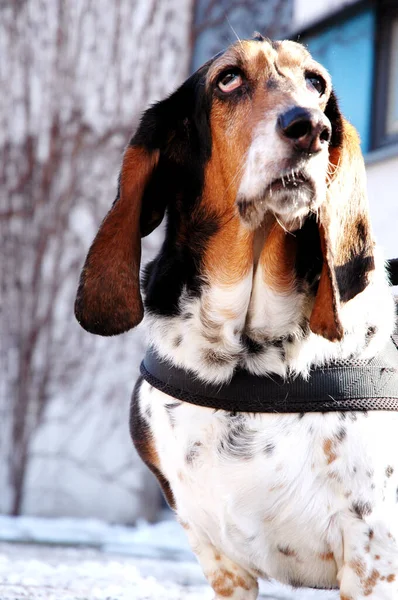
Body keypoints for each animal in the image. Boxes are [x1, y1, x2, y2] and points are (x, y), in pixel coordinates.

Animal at [74, 37, 398, 600]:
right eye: (227, 79)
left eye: (316, 83)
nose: (311, 128)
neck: (248, 353)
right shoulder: (218, 558)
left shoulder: (373, 556)